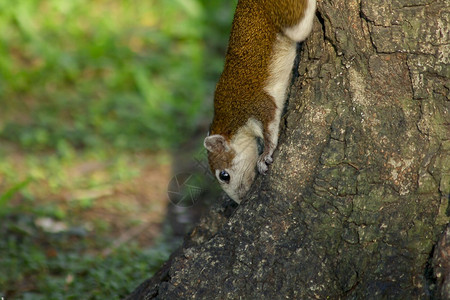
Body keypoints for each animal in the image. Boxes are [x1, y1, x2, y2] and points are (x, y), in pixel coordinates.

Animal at [204, 0, 316, 204]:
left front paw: (265, 156)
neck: (230, 119)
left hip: (285, 14)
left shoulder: (257, 105)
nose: (240, 201)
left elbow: (270, 130)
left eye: (224, 175)